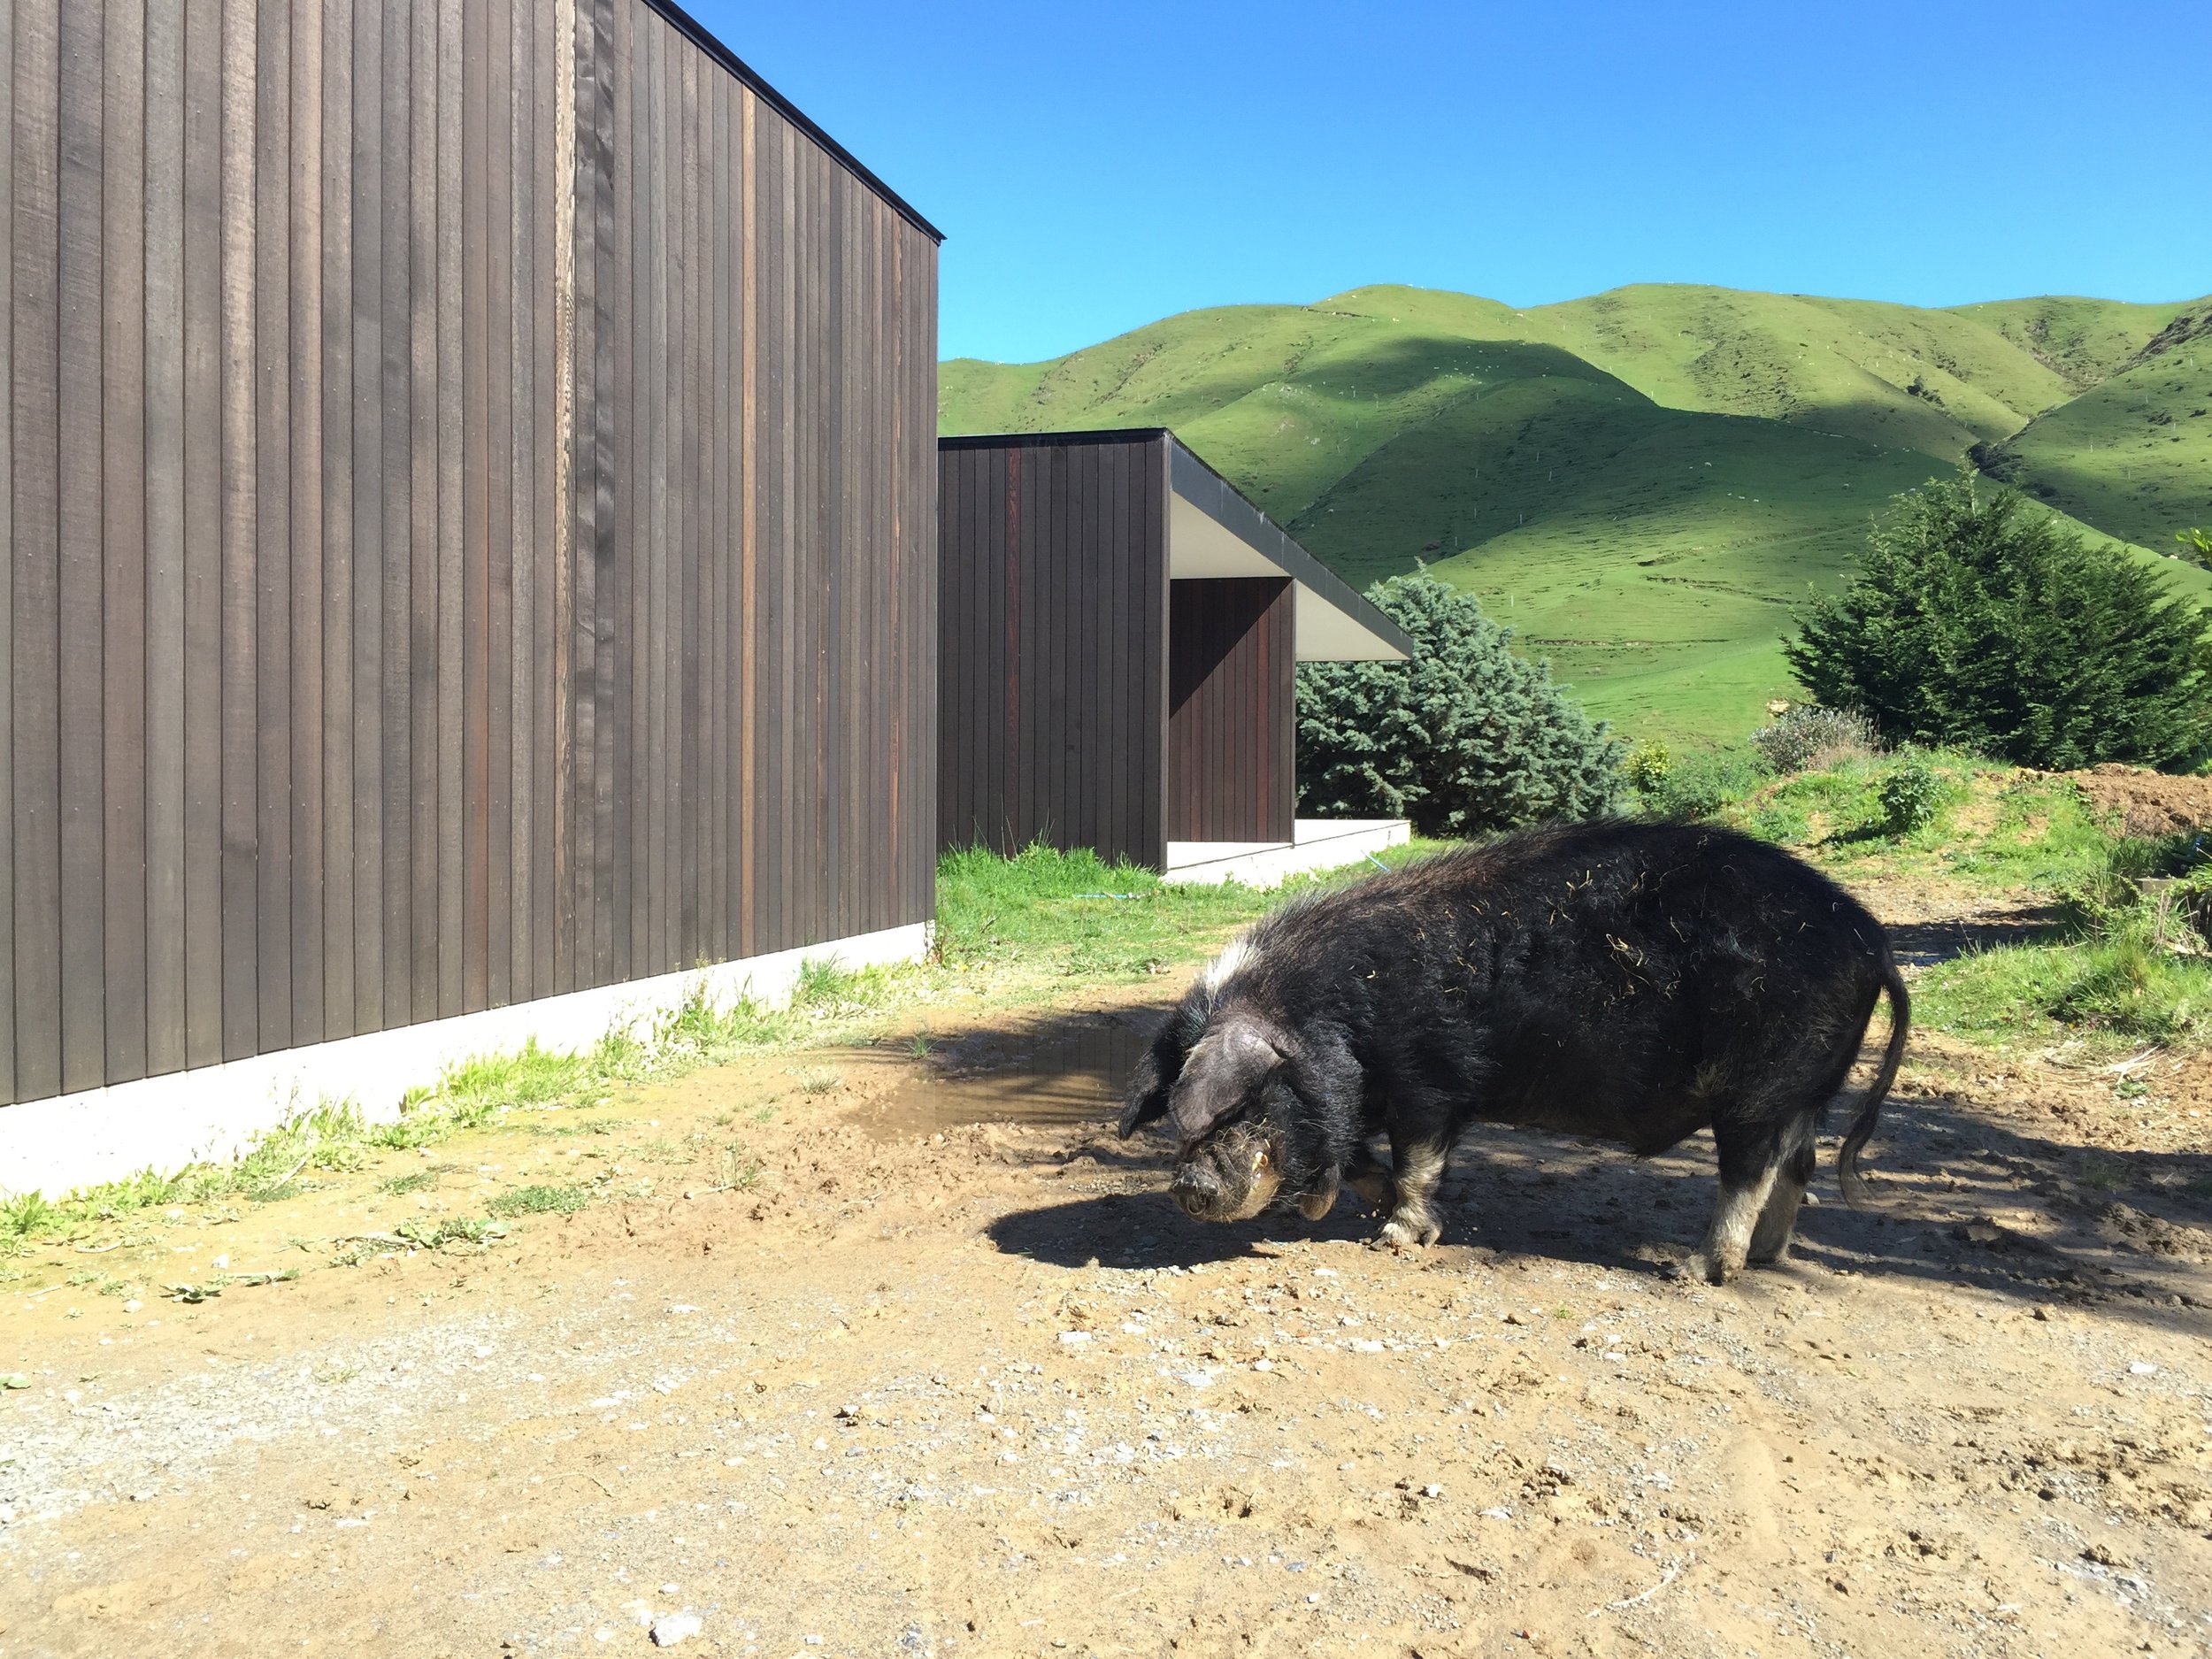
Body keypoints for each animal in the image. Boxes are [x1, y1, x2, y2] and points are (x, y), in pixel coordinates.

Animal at [1115, 823, 1911, 1283]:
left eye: (1245, 1100)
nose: (1187, 1184)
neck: (1338, 1015)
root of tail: (1869, 937)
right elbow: (1372, 1161)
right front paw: (1382, 1212)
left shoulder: (1431, 1080)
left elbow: (1417, 1160)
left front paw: (1395, 1239)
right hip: (1809, 1084)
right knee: (1799, 1163)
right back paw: (1773, 1258)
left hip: (1763, 1081)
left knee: (1751, 1170)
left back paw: (1696, 1269)